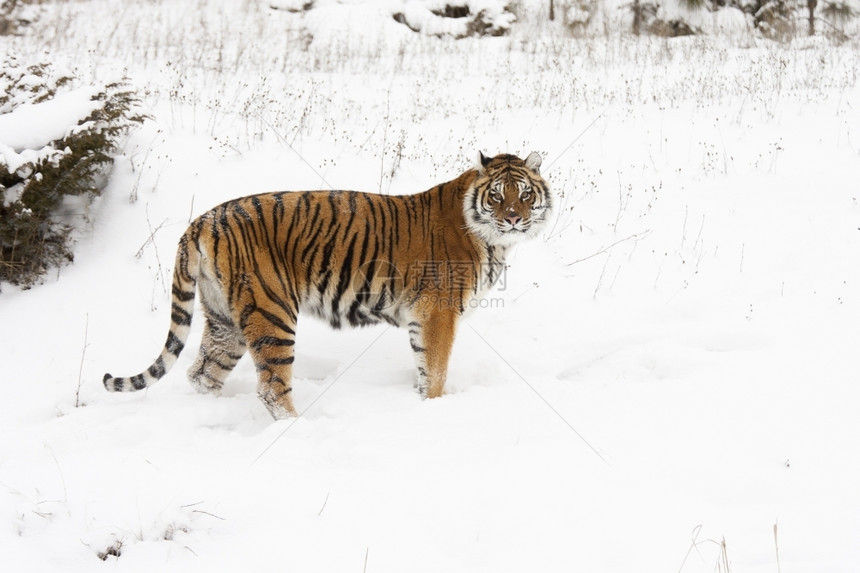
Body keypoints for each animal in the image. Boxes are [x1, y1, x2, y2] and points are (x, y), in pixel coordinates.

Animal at [104, 150, 552, 418]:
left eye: (525, 194)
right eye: (497, 196)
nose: (515, 218)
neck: (490, 237)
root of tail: (203, 220)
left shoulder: (420, 319)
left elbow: (425, 368)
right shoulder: (437, 313)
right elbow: (437, 371)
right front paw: (434, 410)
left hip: (222, 320)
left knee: (203, 373)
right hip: (272, 312)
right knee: (271, 387)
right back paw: (294, 428)